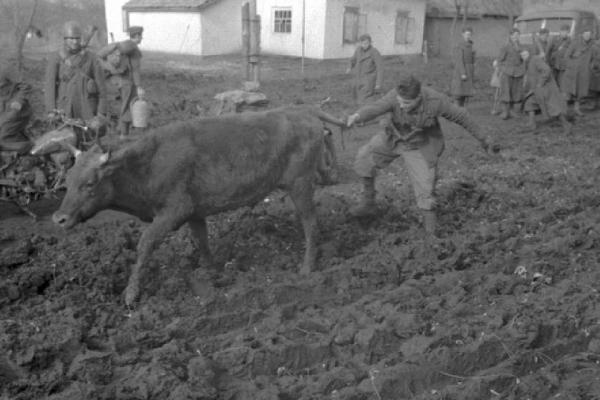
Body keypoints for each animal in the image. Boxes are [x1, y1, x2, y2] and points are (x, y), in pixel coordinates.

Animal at [54, 104, 344, 304]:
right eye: (68, 180)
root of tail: (303, 110)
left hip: (300, 186)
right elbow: (201, 242)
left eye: (90, 183)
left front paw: (130, 293)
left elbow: (145, 243)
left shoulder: (174, 211)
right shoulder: (194, 212)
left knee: (311, 225)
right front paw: (213, 273)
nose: (59, 219)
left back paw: (307, 268)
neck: (149, 162)